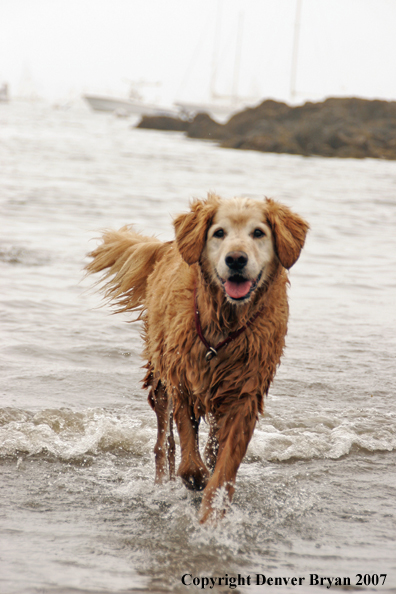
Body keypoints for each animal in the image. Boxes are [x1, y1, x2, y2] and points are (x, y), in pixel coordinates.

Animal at [86, 192, 310, 520]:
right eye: (219, 233)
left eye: (258, 232)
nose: (236, 259)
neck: (225, 321)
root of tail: (169, 245)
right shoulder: (183, 381)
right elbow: (189, 460)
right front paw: (196, 479)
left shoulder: (245, 393)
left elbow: (224, 465)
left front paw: (212, 511)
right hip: (159, 375)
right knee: (164, 444)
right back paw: (163, 483)